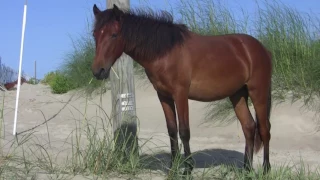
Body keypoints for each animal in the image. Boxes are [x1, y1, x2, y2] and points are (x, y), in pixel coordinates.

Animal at [90, 4, 272, 176]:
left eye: (114, 35)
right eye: (95, 35)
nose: (98, 71)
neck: (166, 52)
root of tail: (259, 48)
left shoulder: (181, 94)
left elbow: (184, 131)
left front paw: (187, 169)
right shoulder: (164, 96)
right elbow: (172, 130)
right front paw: (173, 168)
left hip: (258, 92)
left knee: (264, 129)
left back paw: (266, 169)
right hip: (237, 94)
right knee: (249, 127)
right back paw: (246, 169)